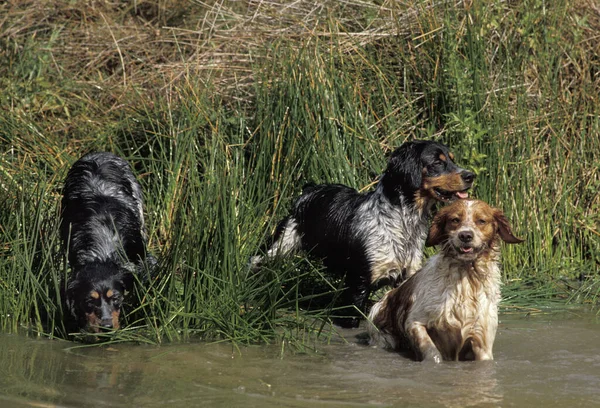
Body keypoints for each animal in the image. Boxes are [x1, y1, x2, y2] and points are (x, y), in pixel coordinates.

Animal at [248, 140, 474, 328]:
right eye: (437, 162)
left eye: (452, 159)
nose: (470, 175)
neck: (403, 224)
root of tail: (308, 191)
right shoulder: (359, 282)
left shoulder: (406, 276)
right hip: (280, 243)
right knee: (255, 260)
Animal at [368, 199, 524, 362]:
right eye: (455, 220)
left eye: (481, 220)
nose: (465, 235)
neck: (466, 278)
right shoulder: (414, 322)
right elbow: (432, 353)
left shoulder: (482, 340)